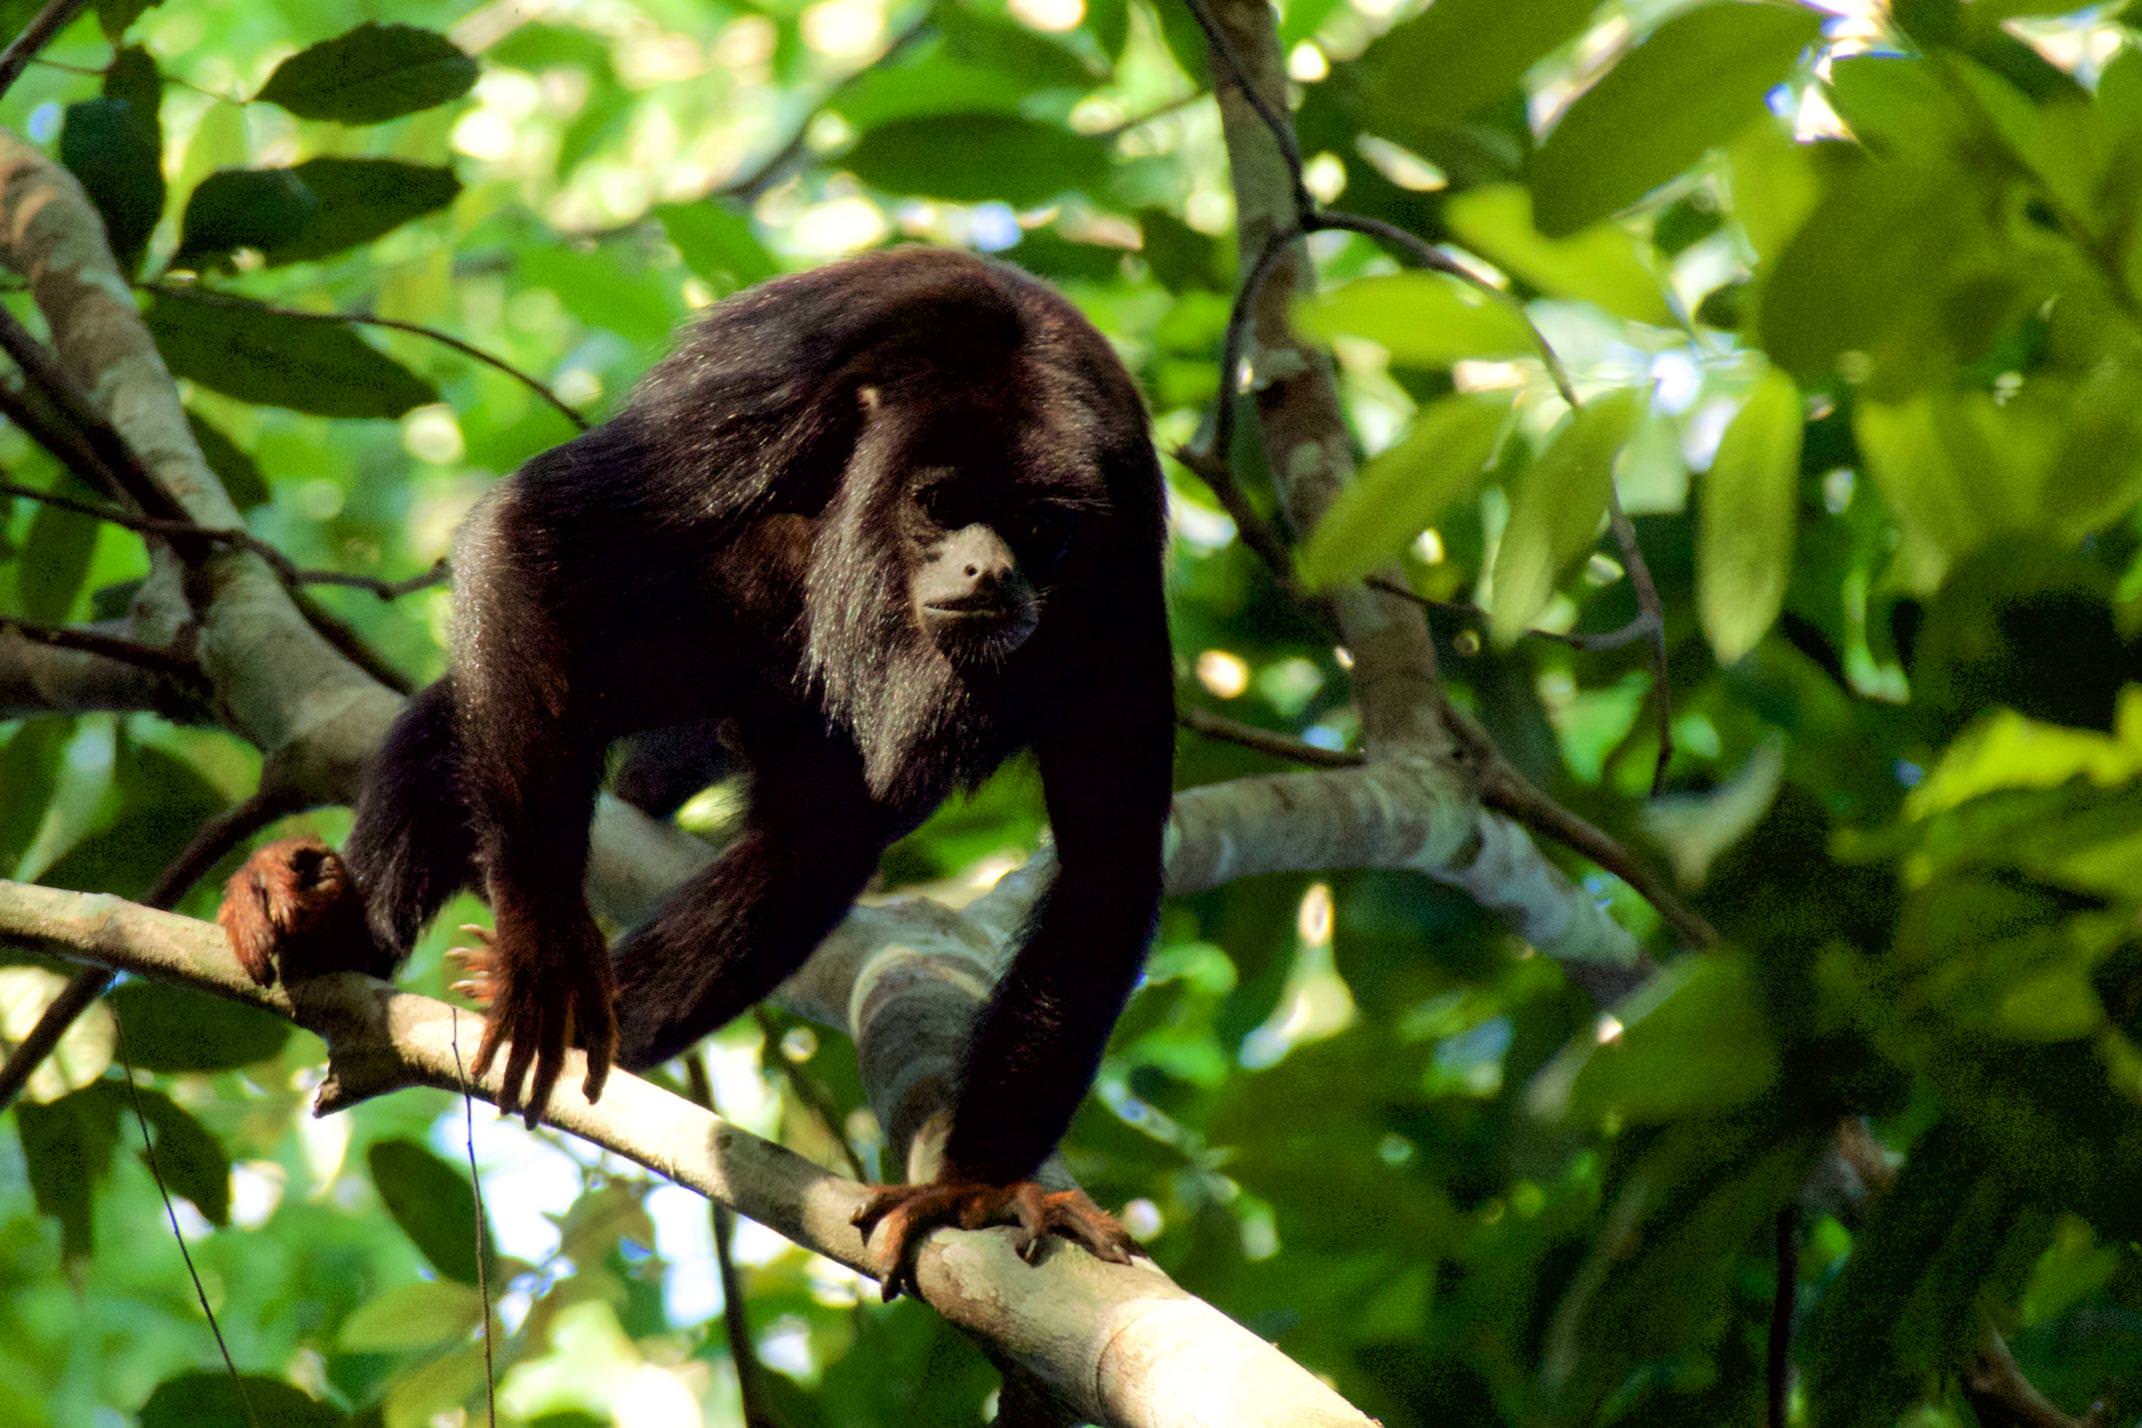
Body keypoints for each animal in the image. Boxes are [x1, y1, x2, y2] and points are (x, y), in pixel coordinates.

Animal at [217, 251, 1173, 1293]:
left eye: (1038, 531)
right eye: (942, 506)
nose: (988, 573)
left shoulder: (1119, 563)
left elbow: (1108, 867)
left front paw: (978, 1188)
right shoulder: (786, 384)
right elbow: (536, 521)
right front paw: (543, 943)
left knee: (821, 838)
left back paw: (608, 1022)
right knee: (489, 689)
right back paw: (341, 934)